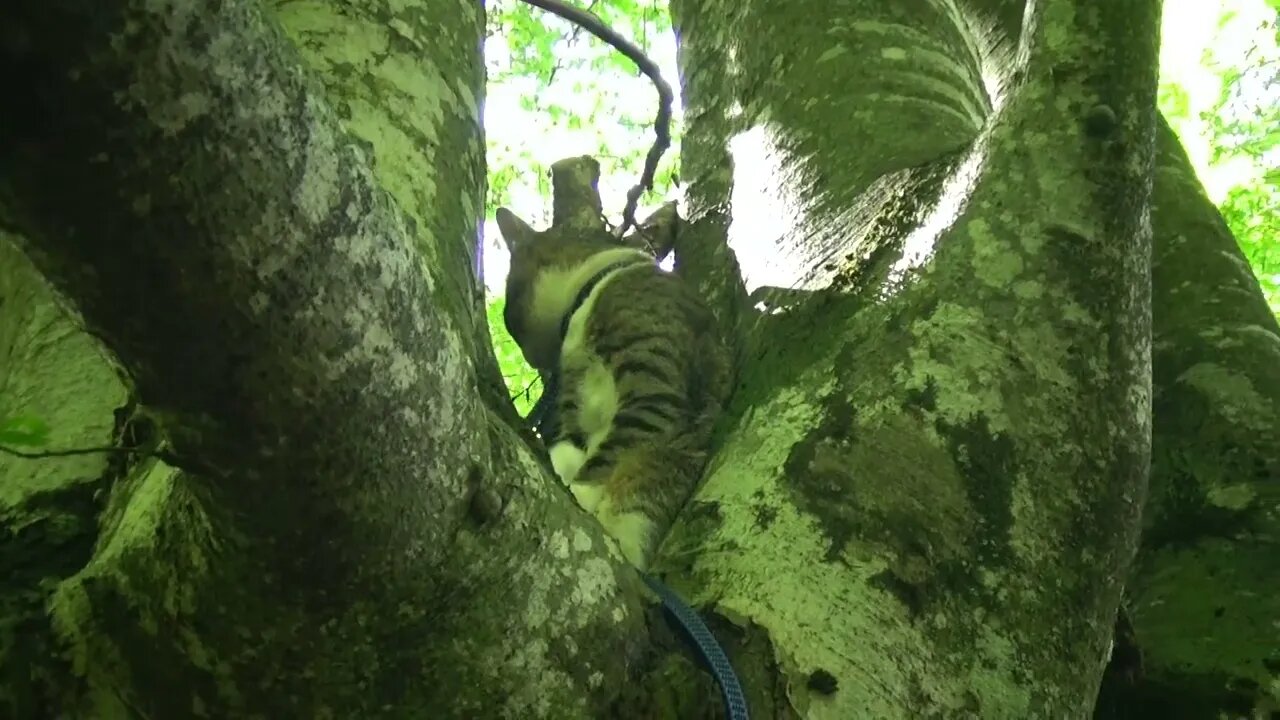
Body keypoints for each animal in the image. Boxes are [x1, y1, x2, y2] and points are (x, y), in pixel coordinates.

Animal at [491, 206, 732, 566]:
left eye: (509, 318)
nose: (530, 360)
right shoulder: (573, 398)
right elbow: (568, 447)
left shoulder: (653, 386)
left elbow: (612, 452)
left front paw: (580, 492)